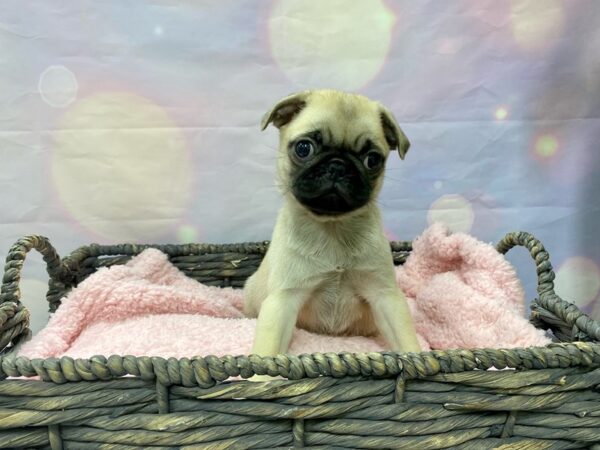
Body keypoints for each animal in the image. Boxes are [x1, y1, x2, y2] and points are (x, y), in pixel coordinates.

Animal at [244, 89, 422, 360]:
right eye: (304, 148)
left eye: (373, 160)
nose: (338, 166)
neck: (333, 228)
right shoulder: (283, 300)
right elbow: (267, 350)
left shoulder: (386, 296)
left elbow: (406, 339)